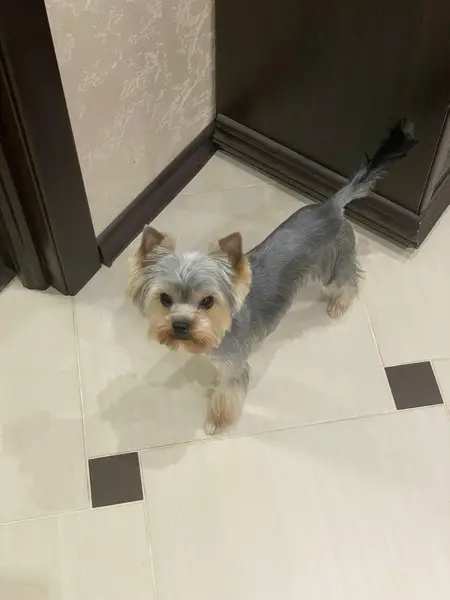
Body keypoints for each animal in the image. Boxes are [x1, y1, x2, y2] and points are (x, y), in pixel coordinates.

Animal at [128, 120, 417, 434]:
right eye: (164, 299)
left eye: (207, 302)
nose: (180, 326)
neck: (218, 330)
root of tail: (330, 207)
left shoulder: (234, 366)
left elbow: (227, 394)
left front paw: (216, 421)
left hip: (332, 264)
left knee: (349, 279)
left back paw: (340, 303)